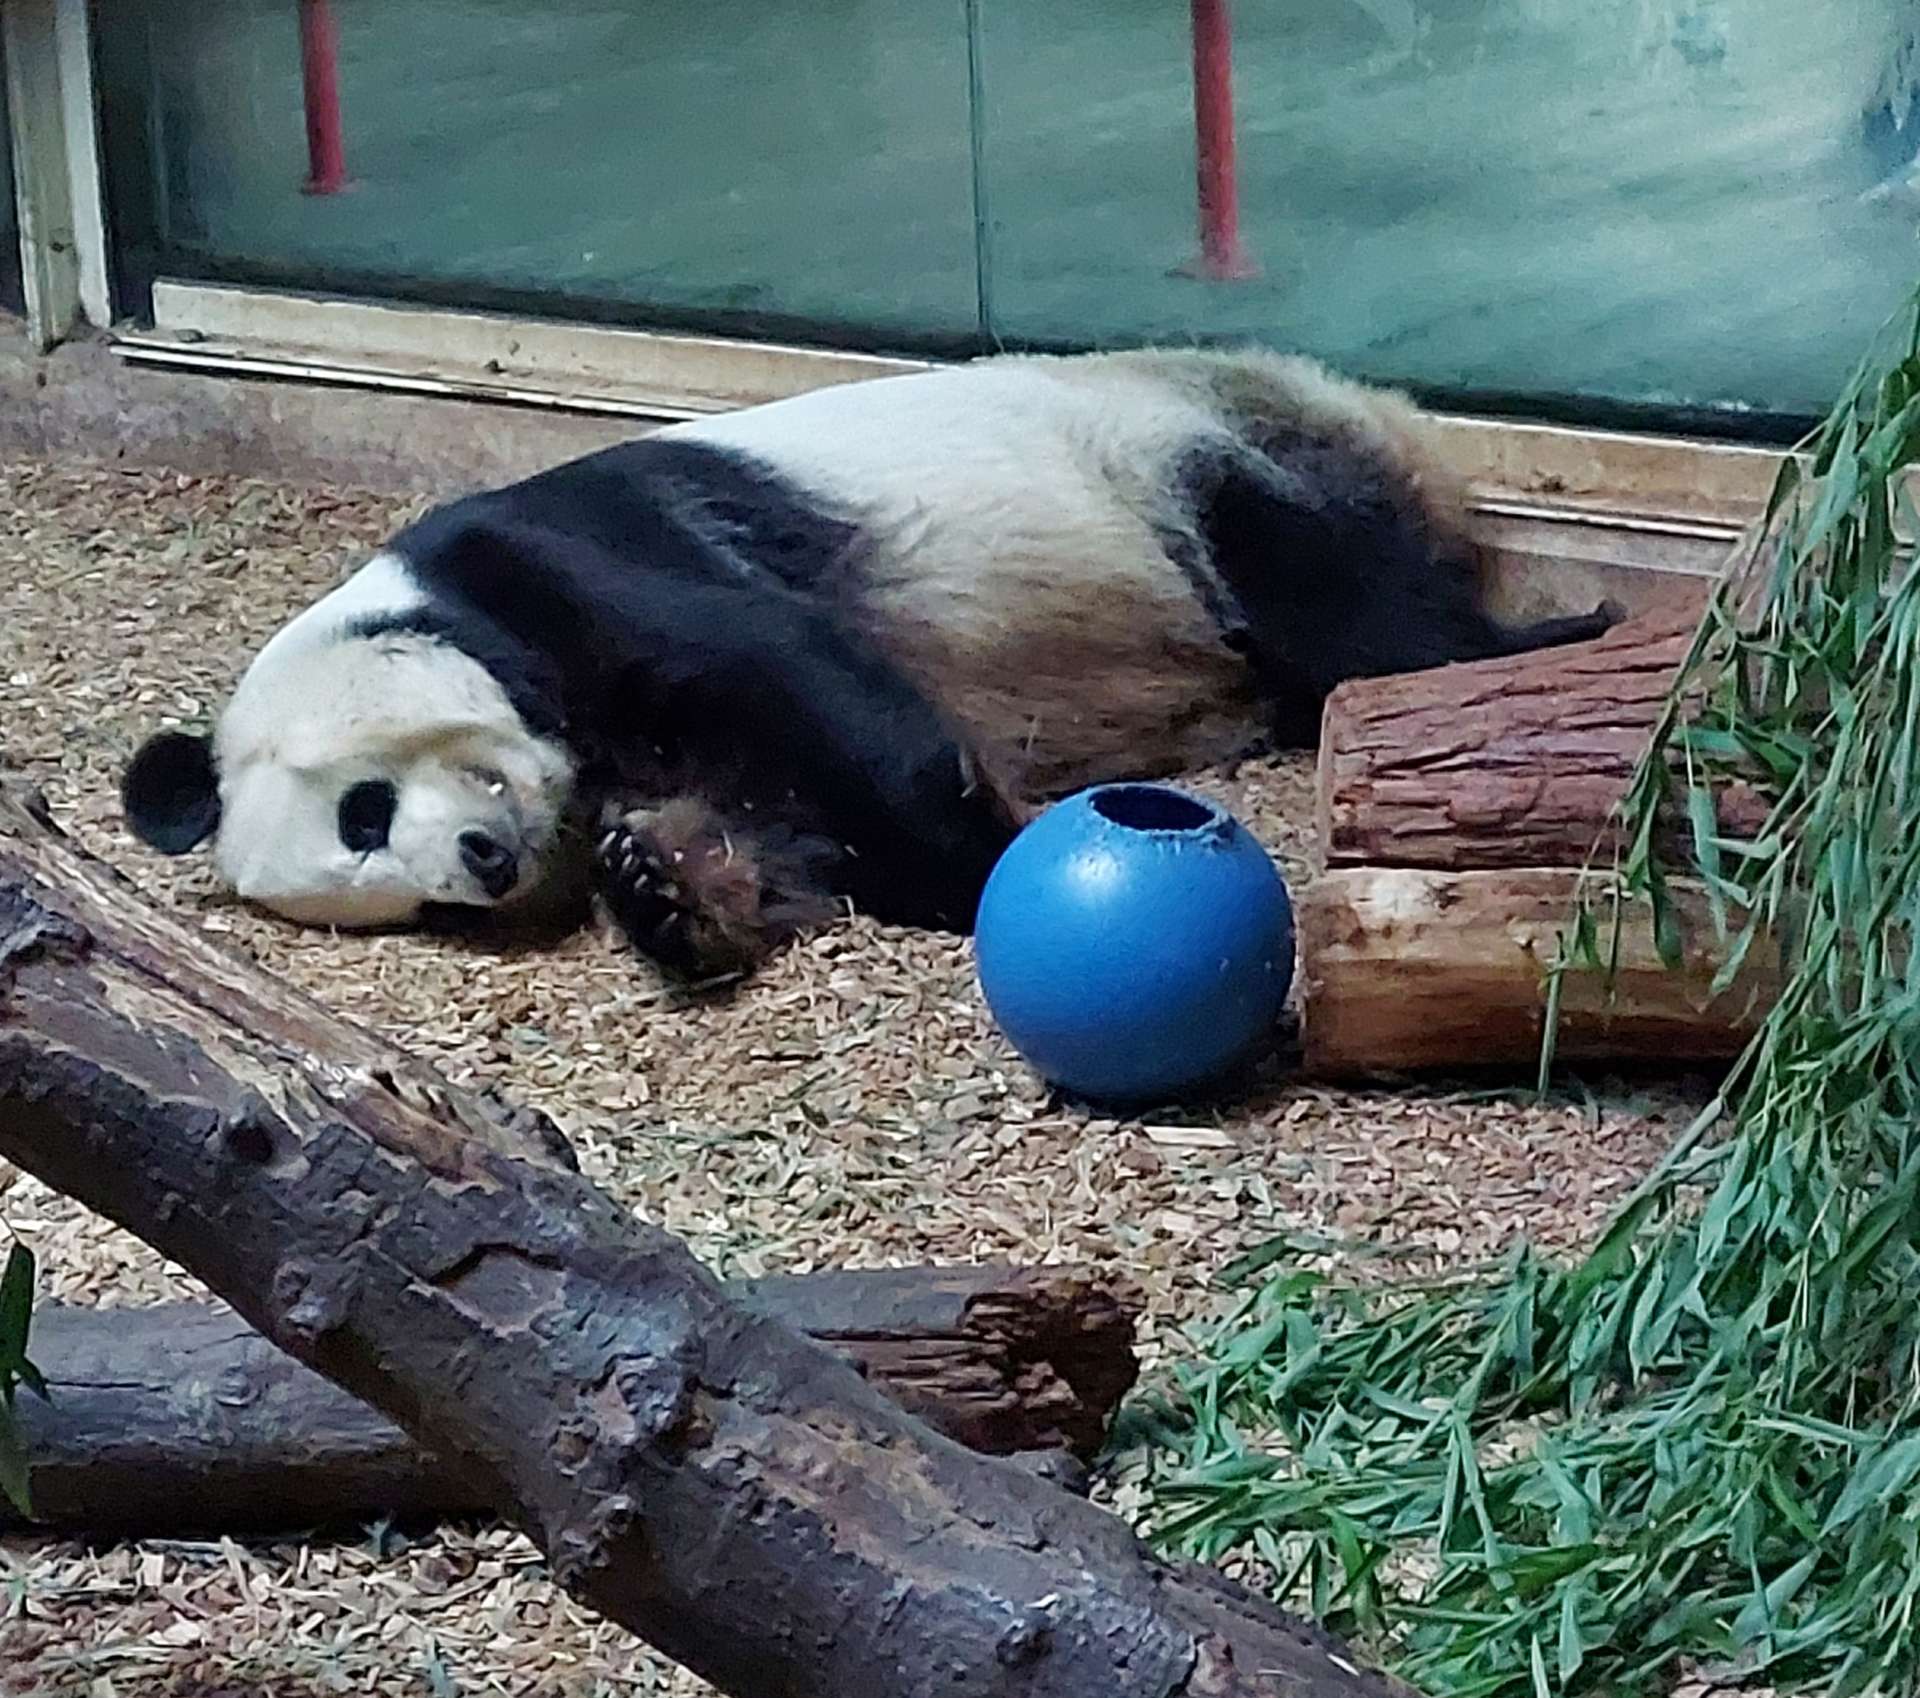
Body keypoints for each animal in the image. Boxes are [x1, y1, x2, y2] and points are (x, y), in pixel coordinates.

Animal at [116, 345, 1620, 983]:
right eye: (396, 889)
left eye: (366, 807)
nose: (481, 864)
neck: (421, 606)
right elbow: (776, 824)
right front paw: (671, 889)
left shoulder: (565, 557)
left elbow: (798, 684)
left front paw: (977, 864)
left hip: (1183, 454)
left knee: (1344, 598)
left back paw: (1557, 638)